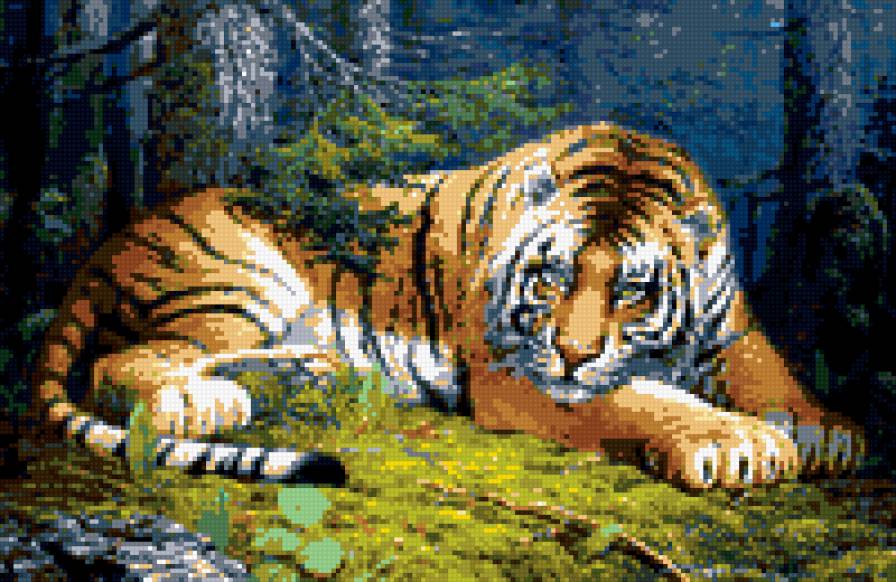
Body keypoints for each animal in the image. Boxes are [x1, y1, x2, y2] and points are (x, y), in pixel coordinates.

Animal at [31, 123, 864, 489]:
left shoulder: (734, 329)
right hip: (238, 279)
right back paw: (201, 402)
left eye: (632, 290)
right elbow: (641, 398)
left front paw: (827, 432)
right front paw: (735, 441)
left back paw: (317, 371)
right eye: (551, 279)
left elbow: (771, 372)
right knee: (124, 361)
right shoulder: (519, 373)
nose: (573, 353)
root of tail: (117, 237)